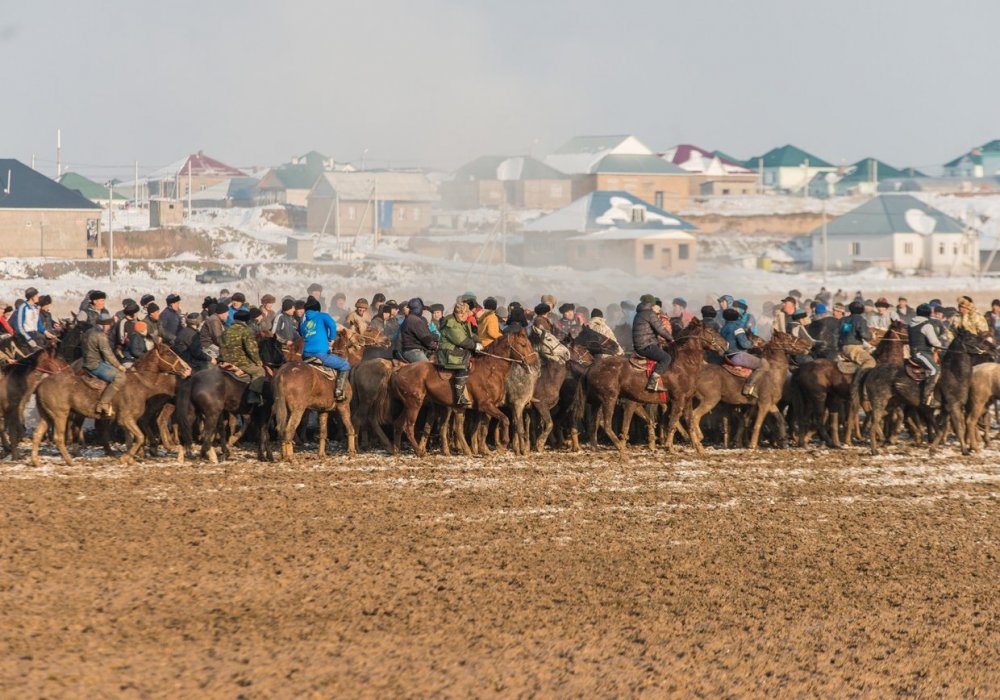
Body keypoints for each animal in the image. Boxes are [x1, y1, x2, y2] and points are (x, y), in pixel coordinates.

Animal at [31, 342, 191, 468]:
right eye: (168, 353)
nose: (188, 369)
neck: (138, 382)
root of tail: (41, 384)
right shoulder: (125, 419)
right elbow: (139, 437)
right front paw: (125, 458)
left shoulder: (128, 421)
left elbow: (131, 438)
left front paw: (131, 459)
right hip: (60, 414)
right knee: (59, 437)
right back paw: (70, 460)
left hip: (47, 416)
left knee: (38, 434)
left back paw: (36, 461)